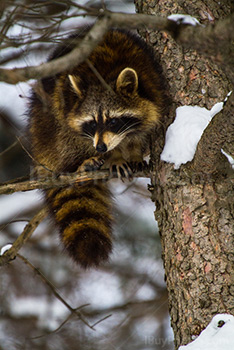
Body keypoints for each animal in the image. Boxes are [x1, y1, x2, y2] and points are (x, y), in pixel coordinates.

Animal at [27, 28, 166, 268]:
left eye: (113, 121)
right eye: (92, 123)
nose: (101, 148)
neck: (105, 72)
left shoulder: (152, 81)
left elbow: (142, 131)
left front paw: (134, 151)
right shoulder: (68, 104)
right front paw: (116, 156)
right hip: (46, 121)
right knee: (63, 133)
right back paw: (82, 164)